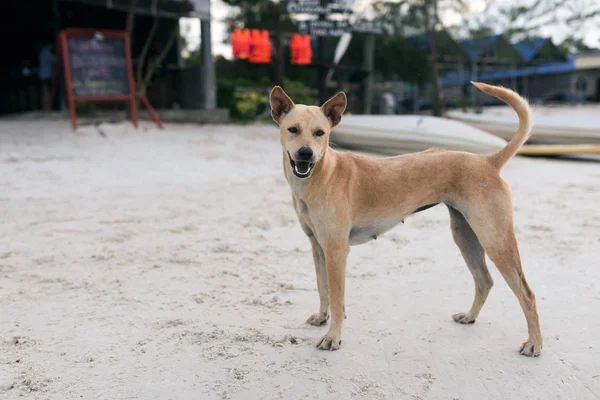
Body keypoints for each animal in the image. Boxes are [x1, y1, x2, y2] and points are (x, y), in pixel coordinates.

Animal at [272, 82, 544, 356]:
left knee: (527, 294)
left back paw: (534, 343)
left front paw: (333, 337)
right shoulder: (318, 247)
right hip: (466, 237)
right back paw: (470, 316)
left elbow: (338, 299)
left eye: (320, 133)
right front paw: (322, 318)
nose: (305, 154)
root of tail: (488, 161)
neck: (321, 175)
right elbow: (323, 289)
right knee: (484, 281)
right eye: (293, 130)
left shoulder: (337, 251)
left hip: (495, 240)